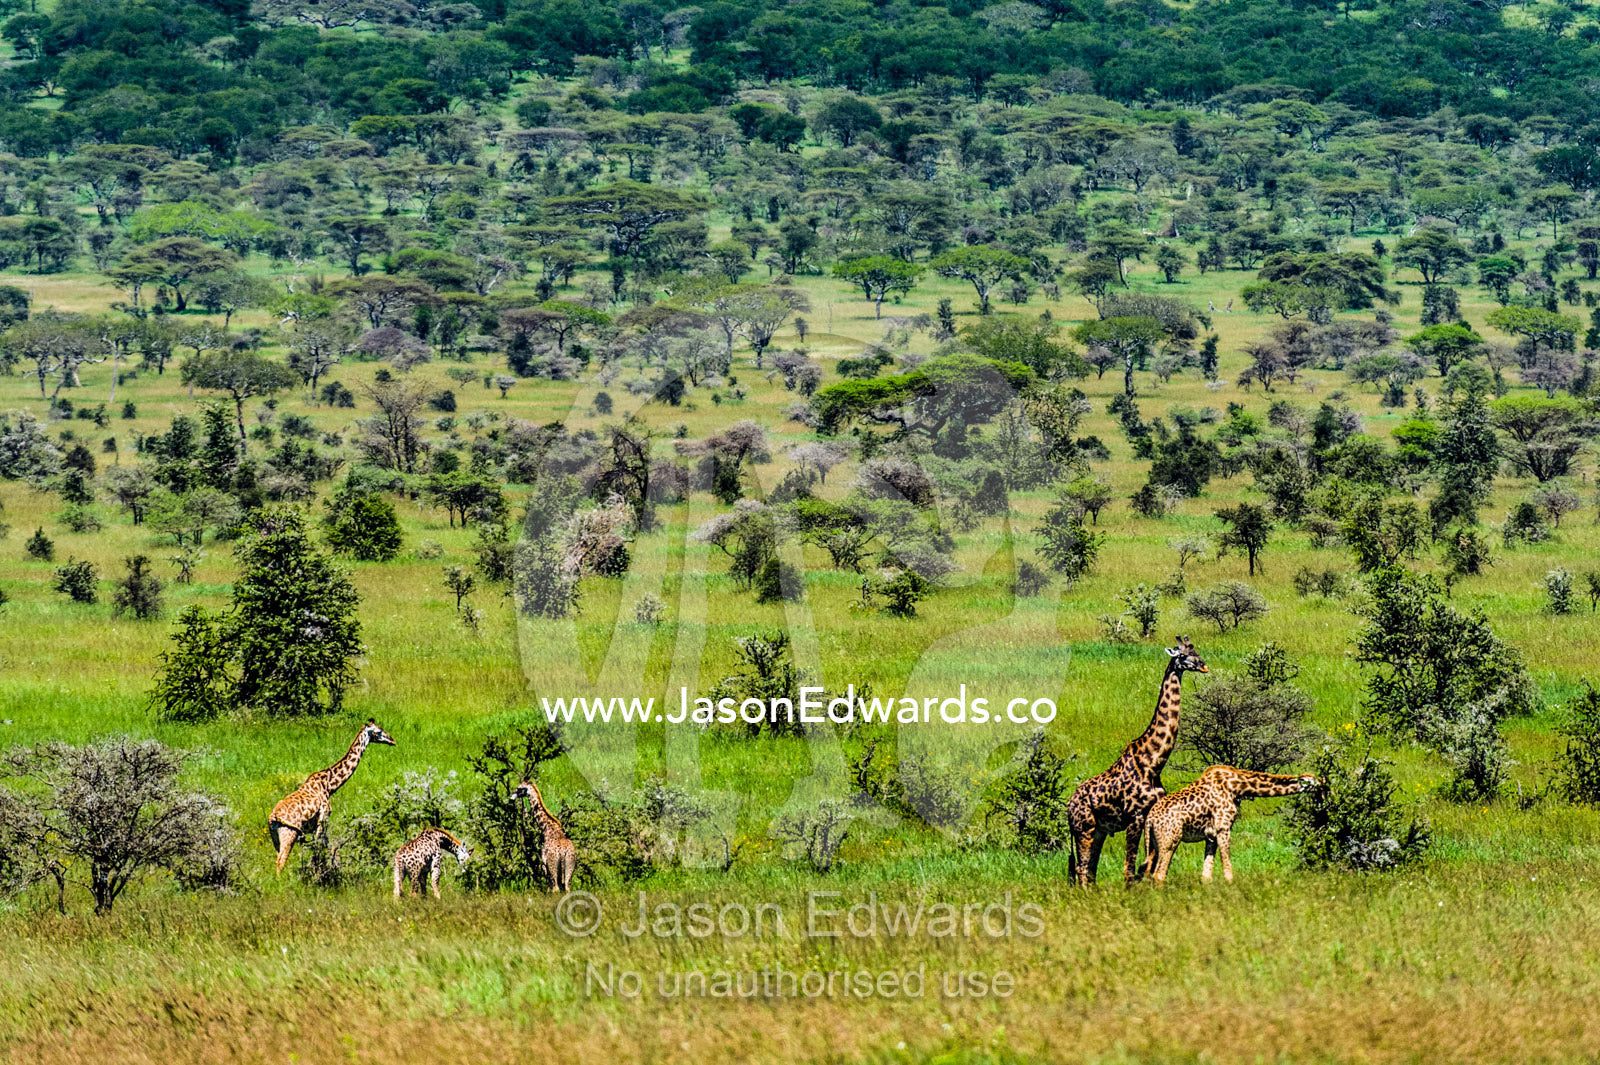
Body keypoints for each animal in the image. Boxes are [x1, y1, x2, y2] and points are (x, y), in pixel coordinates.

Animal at [268, 718, 396, 873]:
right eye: (379, 731)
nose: (392, 740)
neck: (329, 785)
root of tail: (274, 817)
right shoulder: (324, 817)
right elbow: (320, 847)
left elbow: (331, 848)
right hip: (289, 833)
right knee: (281, 861)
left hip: (275, 837)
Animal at [1067, 636, 1208, 886]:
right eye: (1182, 655)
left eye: (1196, 651)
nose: (1203, 666)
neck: (1153, 762)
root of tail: (1067, 808)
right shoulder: (1135, 816)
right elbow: (1129, 869)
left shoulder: (1150, 814)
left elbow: (1148, 864)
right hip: (1084, 829)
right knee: (1082, 870)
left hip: (1098, 831)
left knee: (1090, 870)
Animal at [1142, 766, 1319, 885]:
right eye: (1315, 781)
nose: (1324, 783)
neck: (1238, 786)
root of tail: (1149, 819)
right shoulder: (1223, 828)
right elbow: (1228, 871)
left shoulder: (1211, 835)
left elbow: (1206, 875)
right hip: (1170, 840)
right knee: (1159, 875)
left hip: (1154, 844)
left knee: (1148, 873)